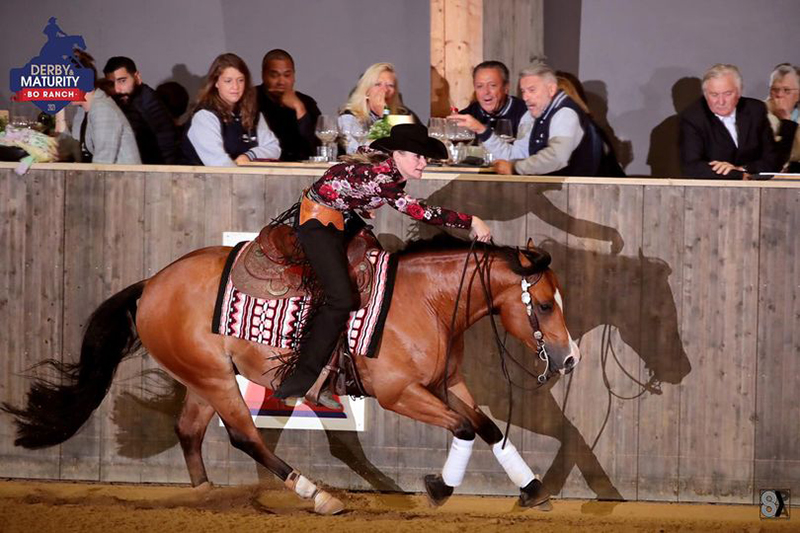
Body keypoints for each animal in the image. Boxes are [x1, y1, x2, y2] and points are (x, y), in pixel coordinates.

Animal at [1, 236, 580, 512]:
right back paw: (317, 496)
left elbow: (487, 427)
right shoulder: (400, 393)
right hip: (216, 381)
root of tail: (151, 285)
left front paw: (533, 490)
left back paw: (208, 497)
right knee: (245, 437)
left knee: (190, 431)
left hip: (204, 379)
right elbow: (463, 428)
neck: (425, 302)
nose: (570, 358)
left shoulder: (446, 383)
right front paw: (439, 487)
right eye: (544, 305)